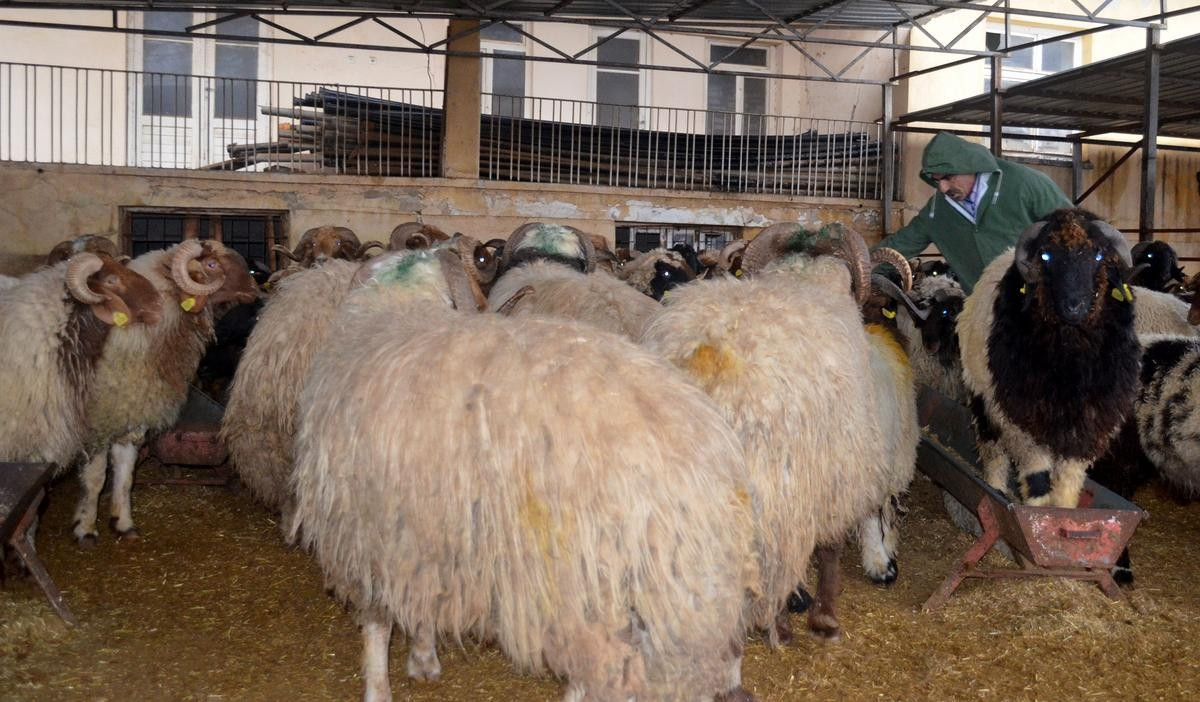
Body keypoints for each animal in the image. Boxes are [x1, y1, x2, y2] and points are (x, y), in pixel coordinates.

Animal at [71, 240, 257, 544]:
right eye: (212, 265)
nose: (254, 288)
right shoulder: (97, 422)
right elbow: (95, 478)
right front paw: (85, 528)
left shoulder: (132, 411)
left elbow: (126, 473)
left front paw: (123, 522)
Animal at [290, 245, 759, 701]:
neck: (398, 305)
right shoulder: (423, 531)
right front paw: (424, 657)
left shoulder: (365, 532)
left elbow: (377, 623)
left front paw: (381, 685)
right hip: (679, 584)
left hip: (584, 583)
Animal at [641, 223, 892, 644]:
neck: (803, 278)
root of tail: (703, 360)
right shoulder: (834, 470)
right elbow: (830, 546)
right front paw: (823, 616)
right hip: (768, 489)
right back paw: (777, 623)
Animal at [958, 208, 1142, 508]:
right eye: (1046, 255)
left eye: (1099, 255)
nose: (1074, 305)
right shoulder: (1020, 412)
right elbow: (1036, 470)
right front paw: (1038, 509)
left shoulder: (1089, 419)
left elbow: (1069, 476)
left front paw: (1064, 508)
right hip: (981, 395)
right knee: (993, 450)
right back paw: (994, 487)